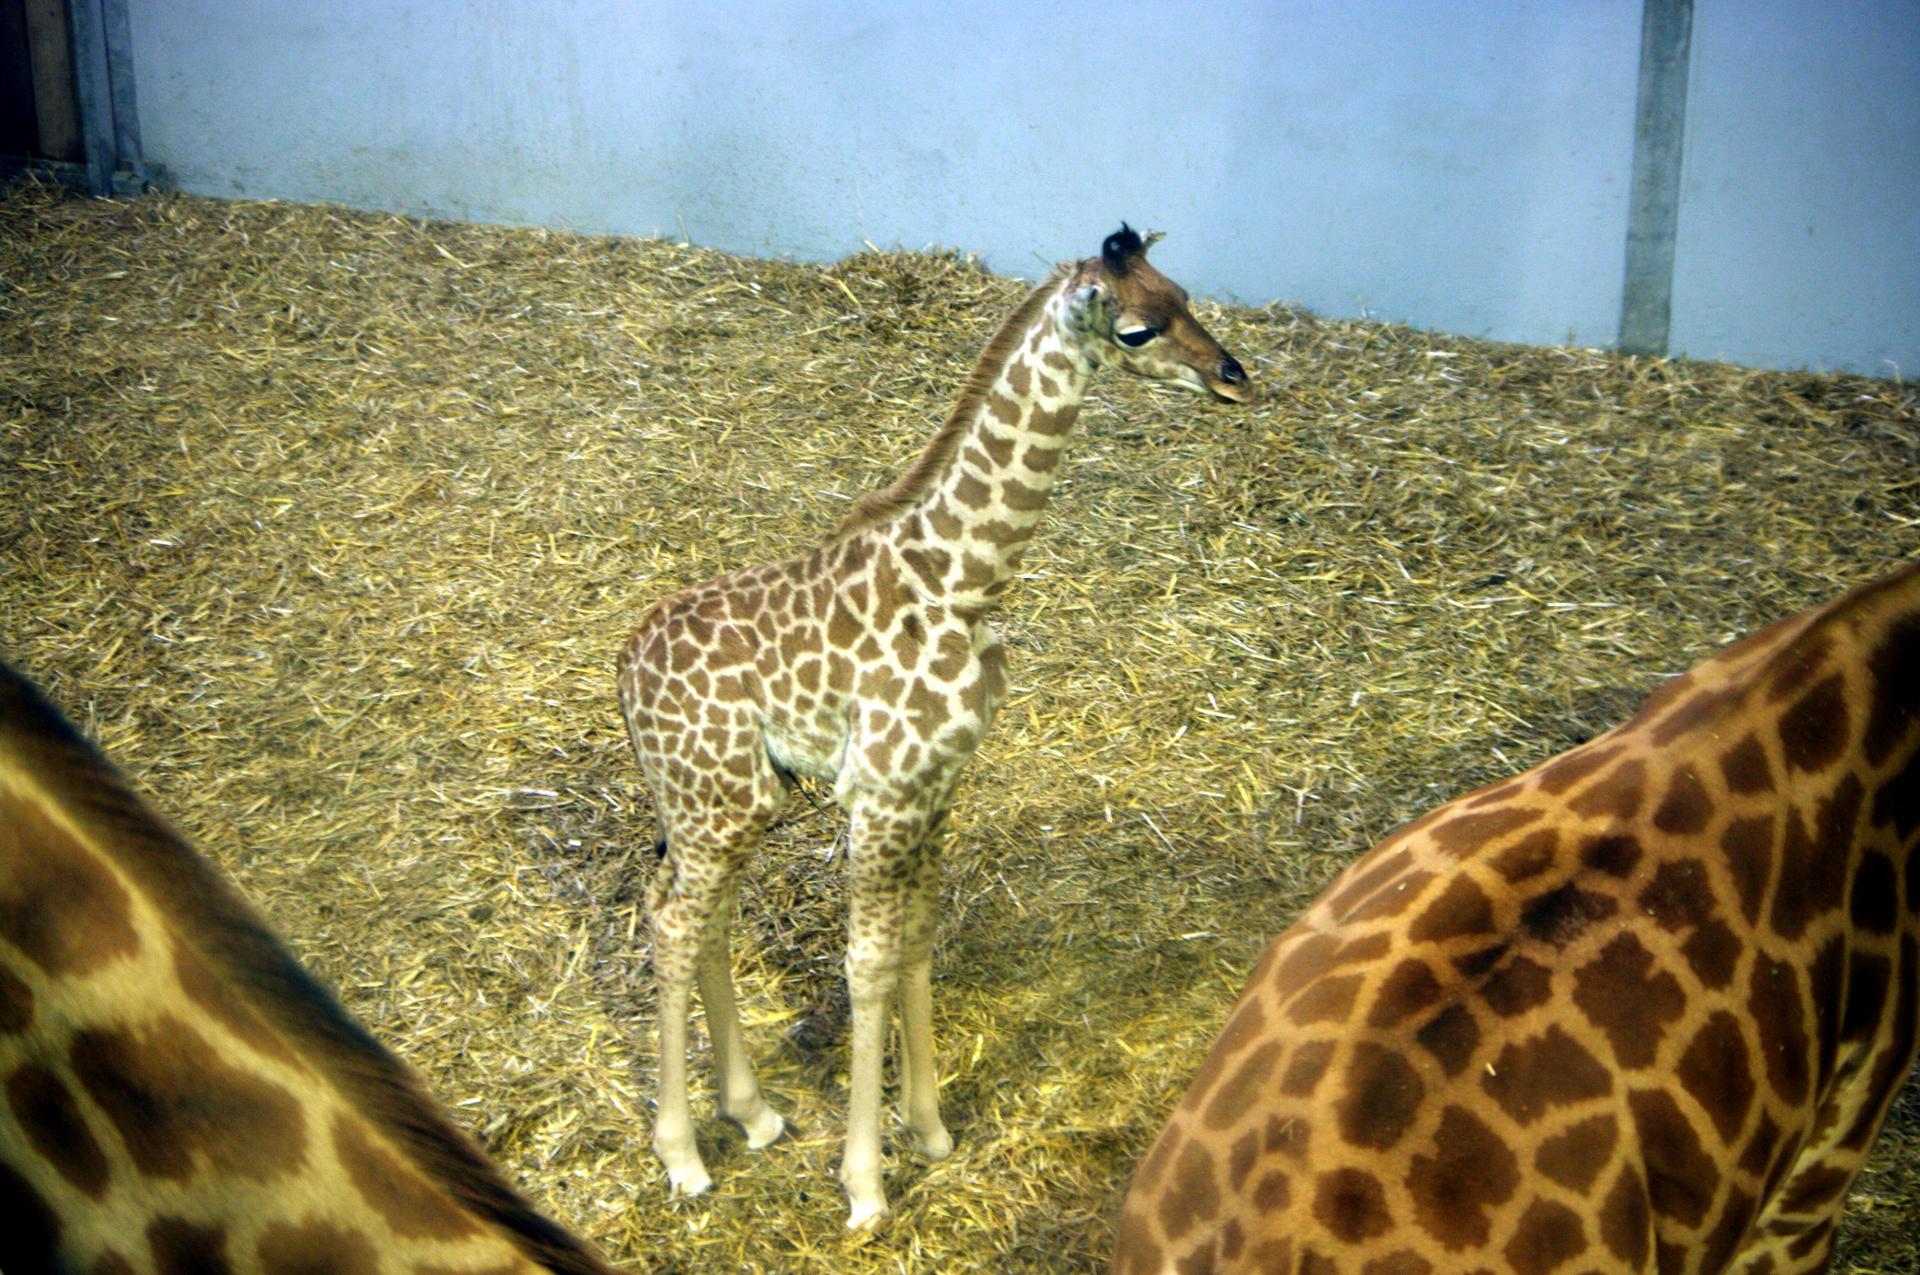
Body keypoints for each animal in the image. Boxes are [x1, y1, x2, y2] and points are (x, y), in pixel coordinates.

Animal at [618, 223, 1259, 1228]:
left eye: (1186, 294)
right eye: (1137, 331)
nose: (1236, 378)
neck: (963, 580)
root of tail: (621, 671)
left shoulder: (939, 783)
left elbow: (919, 934)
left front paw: (928, 1129)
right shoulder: (881, 793)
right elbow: (867, 962)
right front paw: (866, 1184)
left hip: (731, 802)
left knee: (696, 914)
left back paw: (752, 1112)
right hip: (714, 802)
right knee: (674, 920)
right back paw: (683, 1156)